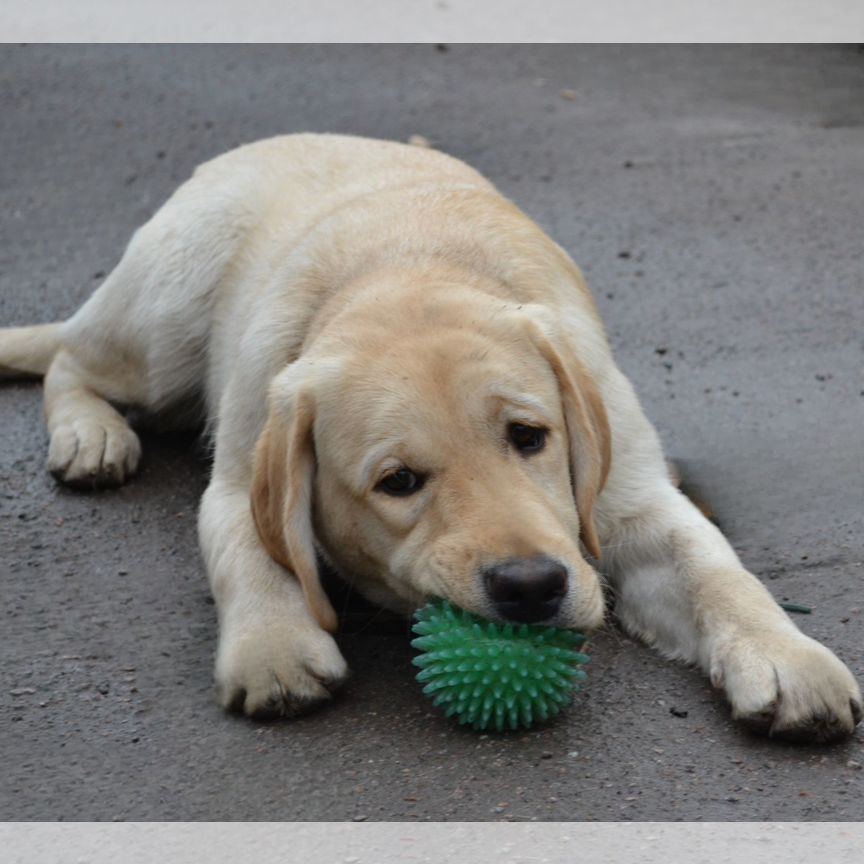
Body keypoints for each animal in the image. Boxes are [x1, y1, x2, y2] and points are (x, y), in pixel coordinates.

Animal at [3, 135, 860, 744]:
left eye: (529, 436)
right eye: (398, 482)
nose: (530, 587)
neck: (406, 267)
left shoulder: (633, 494)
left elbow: (715, 569)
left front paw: (786, 656)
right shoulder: (243, 469)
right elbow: (253, 550)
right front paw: (274, 645)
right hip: (166, 326)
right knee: (71, 360)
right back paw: (91, 436)